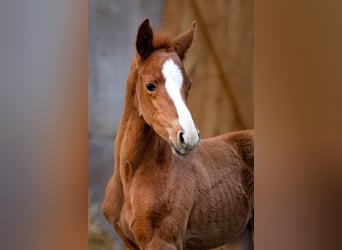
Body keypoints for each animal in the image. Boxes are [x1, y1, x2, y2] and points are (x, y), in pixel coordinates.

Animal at [102, 18, 254, 249]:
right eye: (150, 85)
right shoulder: (128, 242)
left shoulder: (163, 241)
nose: (189, 137)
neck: (131, 178)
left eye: (189, 86)